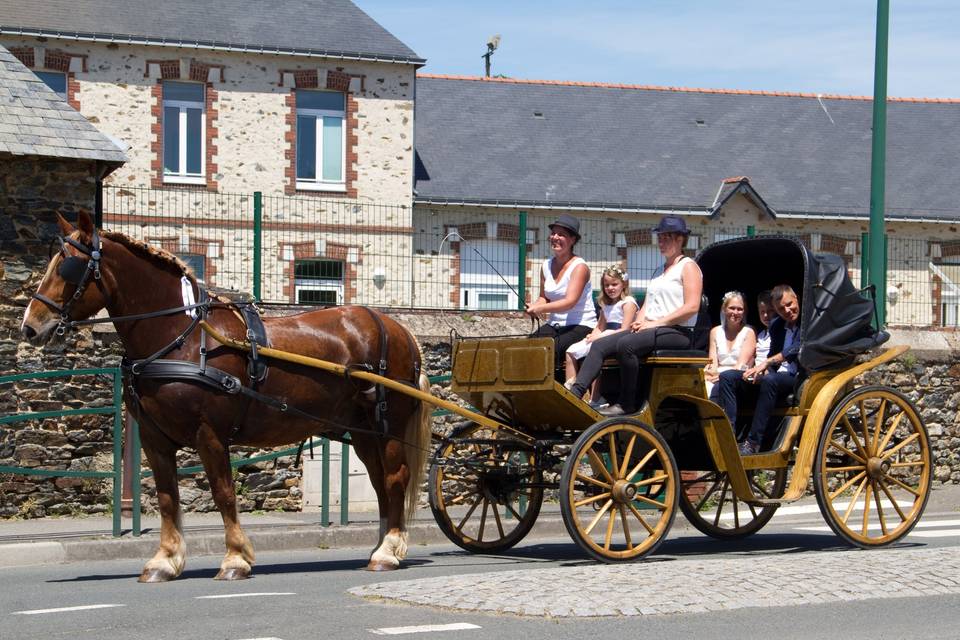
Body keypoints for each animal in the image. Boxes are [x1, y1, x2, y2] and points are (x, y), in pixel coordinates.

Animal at [19, 212, 432, 584]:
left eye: (68, 268)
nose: (30, 326)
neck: (182, 337)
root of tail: (398, 329)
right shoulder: (154, 438)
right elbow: (167, 497)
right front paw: (165, 561)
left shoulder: (209, 433)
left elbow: (223, 493)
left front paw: (235, 558)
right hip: (362, 430)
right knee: (380, 481)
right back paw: (382, 546)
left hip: (389, 424)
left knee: (395, 477)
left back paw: (389, 550)